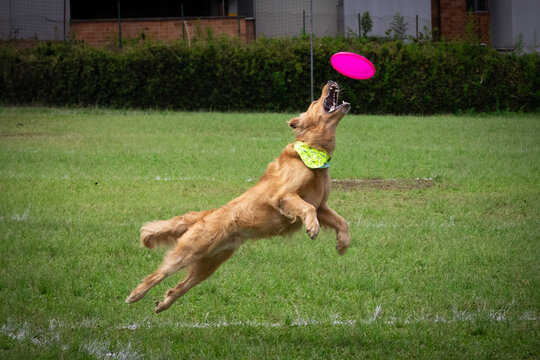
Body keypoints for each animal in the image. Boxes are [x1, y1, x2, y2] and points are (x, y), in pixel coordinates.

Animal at [128, 81, 352, 312]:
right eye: (315, 101)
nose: (332, 82)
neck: (312, 153)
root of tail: (205, 215)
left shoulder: (321, 205)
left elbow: (341, 221)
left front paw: (342, 243)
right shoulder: (284, 196)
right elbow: (307, 208)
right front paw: (312, 228)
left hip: (208, 265)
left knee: (181, 286)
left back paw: (163, 304)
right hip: (189, 251)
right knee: (159, 273)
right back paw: (136, 295)